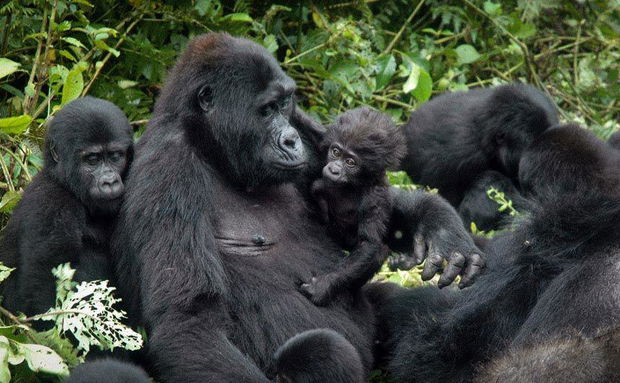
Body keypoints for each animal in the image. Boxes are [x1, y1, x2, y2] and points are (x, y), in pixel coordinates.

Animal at [0, 97, 132, 318]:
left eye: (115, 156)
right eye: (92, 160)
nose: (110, 182)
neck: (65, 184)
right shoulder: (52, 205)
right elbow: (46, 284)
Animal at [298, 107, 404, 306]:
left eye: (350, 162)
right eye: (336, 152)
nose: (334, 169)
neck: (356, 182)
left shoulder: (376, 197)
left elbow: (368, 244)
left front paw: (323, 285)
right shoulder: (326, 141)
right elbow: (317, 133)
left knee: (379, 251)